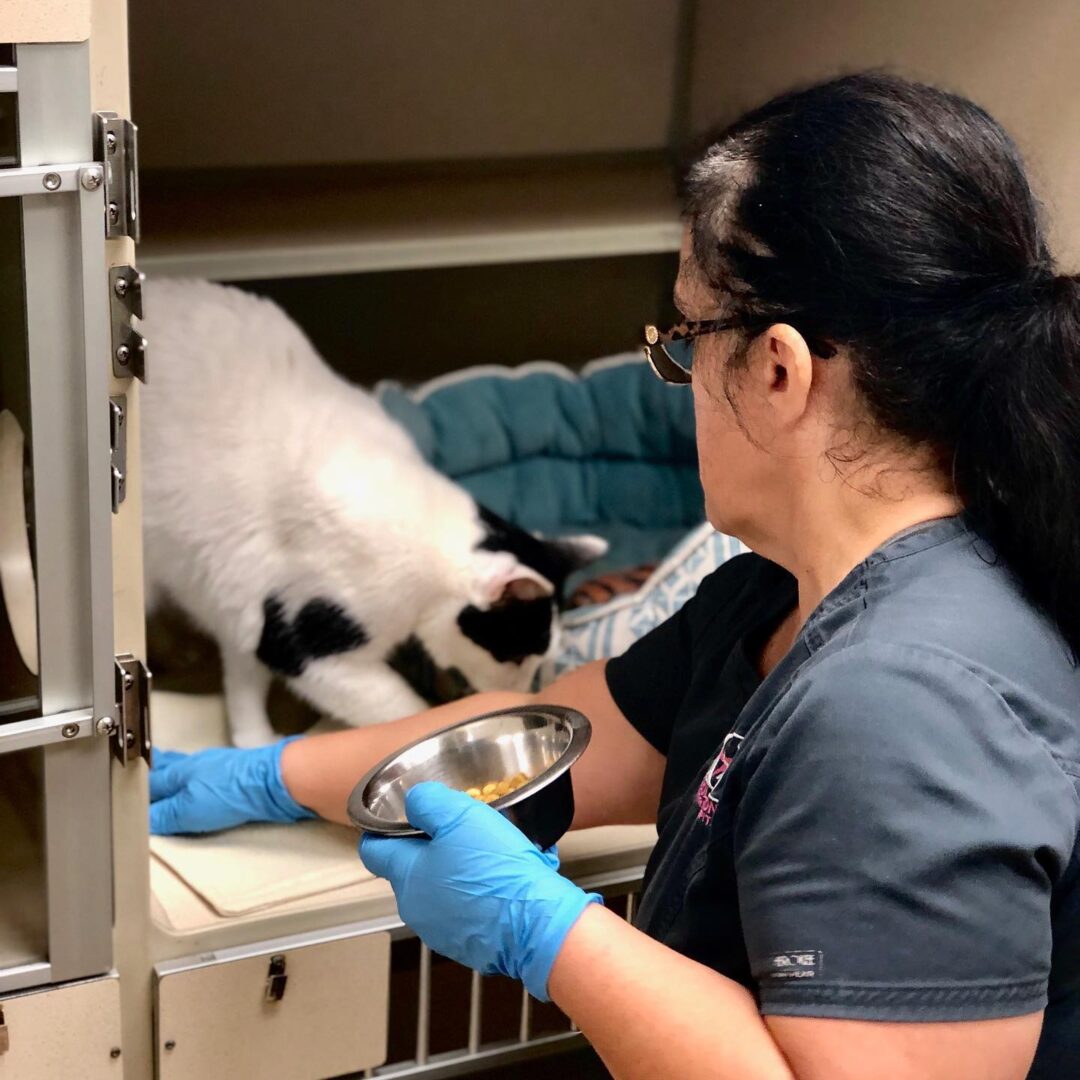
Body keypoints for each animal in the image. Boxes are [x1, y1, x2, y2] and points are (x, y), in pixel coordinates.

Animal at [139, 280, 604, 743]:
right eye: (514, 656)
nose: (524, 694)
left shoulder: (246, 609)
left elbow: (242, 680)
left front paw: (253, 741)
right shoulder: (300, 641)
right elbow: (402, 709)